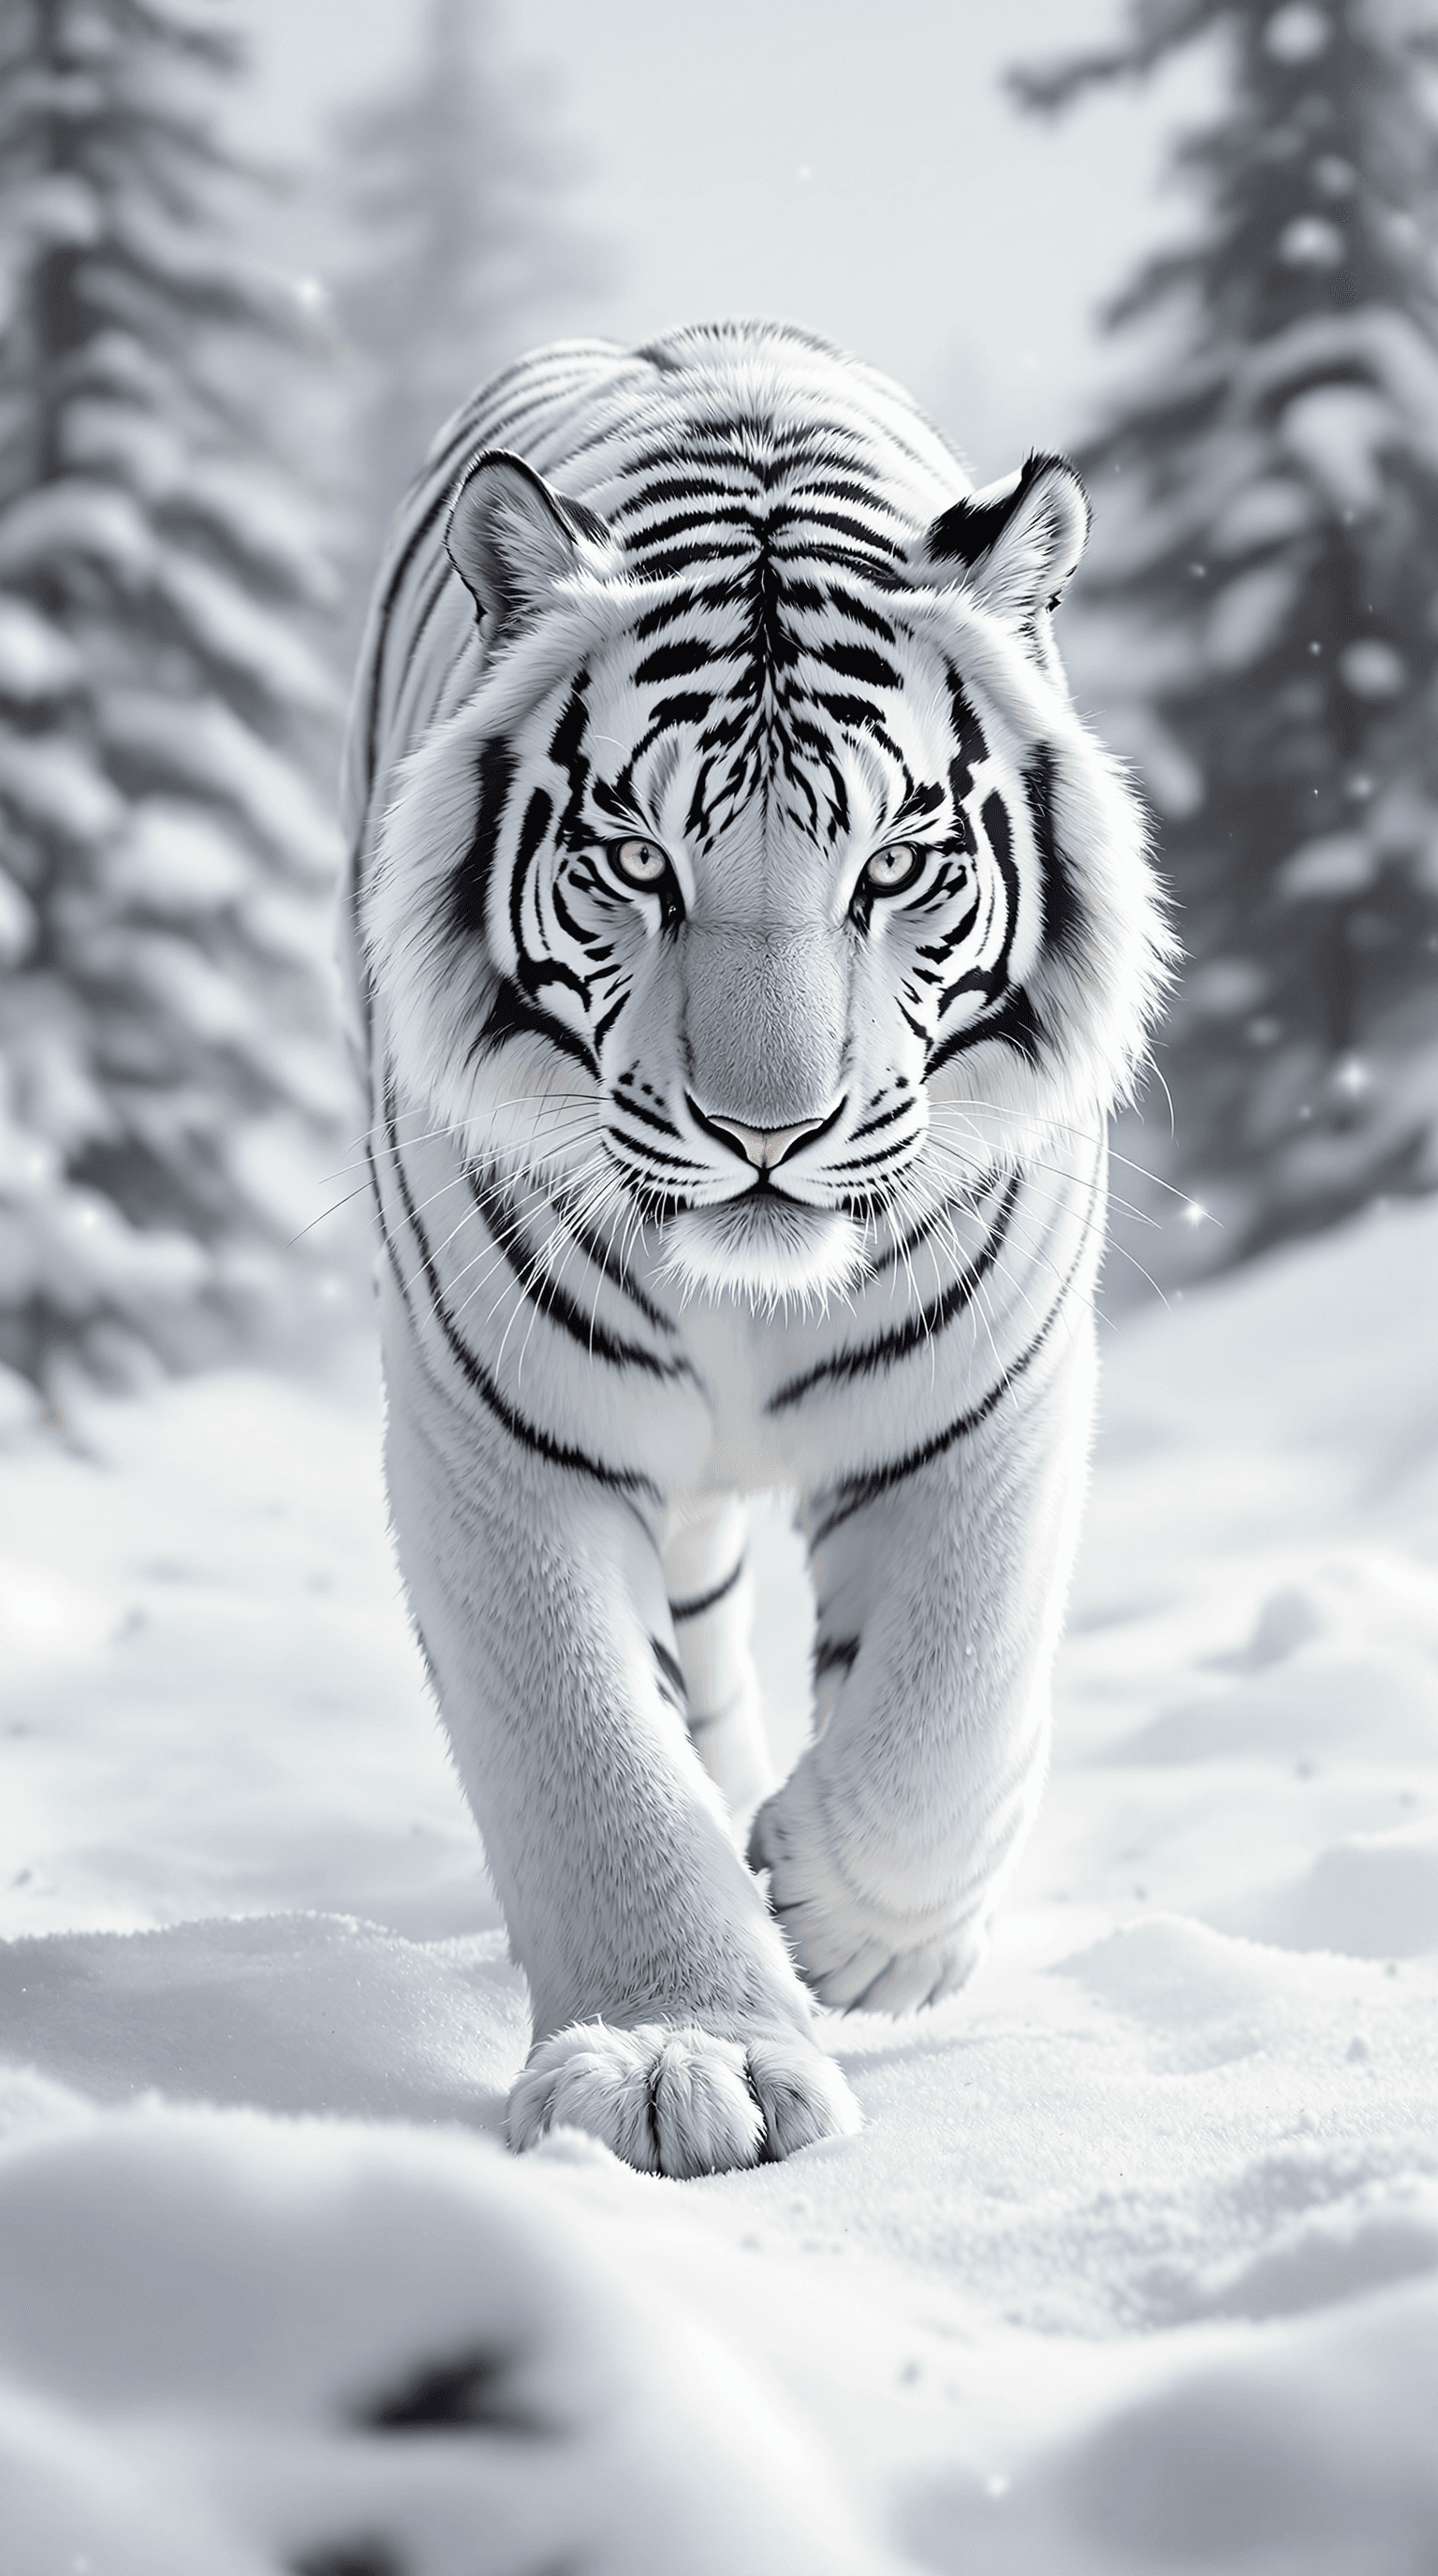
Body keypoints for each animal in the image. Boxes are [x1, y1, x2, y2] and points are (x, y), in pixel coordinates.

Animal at [339, 319, 1170, 2179]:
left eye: (900, 863)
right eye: (635, 860)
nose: (769, 1133)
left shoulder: (991, 1399)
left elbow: (951, 1689)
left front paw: (851, 1932)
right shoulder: (500, 1434)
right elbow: (591, 1750)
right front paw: (677, 2054)